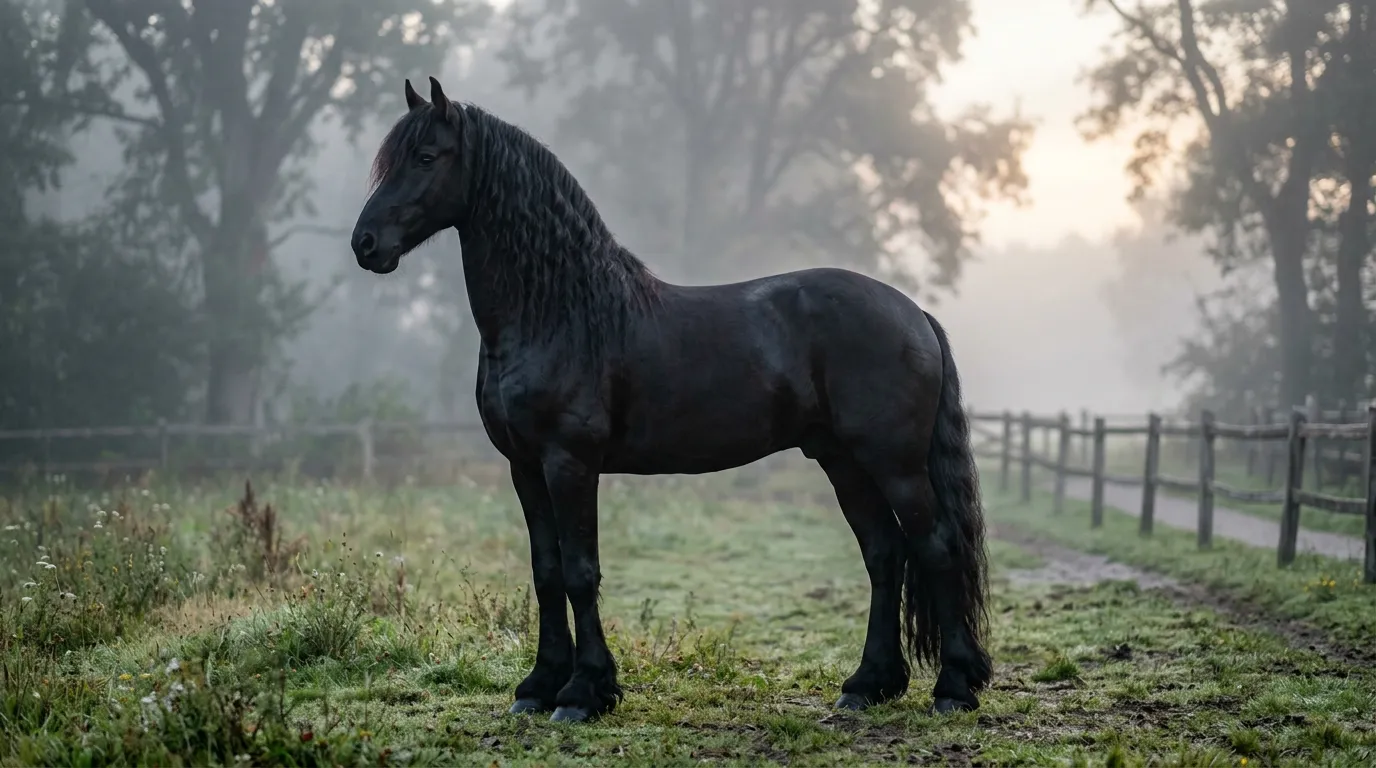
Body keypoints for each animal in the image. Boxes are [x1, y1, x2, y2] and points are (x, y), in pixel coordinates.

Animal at [350, 77, 992, 724]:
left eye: (426, 157)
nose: (365, 244)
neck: (558, 311)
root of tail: (913, 312)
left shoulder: (569, 462)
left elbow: (580, 572)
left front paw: (584, 692)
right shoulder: (524, 466)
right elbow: (546, 572)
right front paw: (537, 686)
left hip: (894, 463)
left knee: (935, 548)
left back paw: (954, 688)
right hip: (842, 460)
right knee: (884, 554)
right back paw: (867, 684)